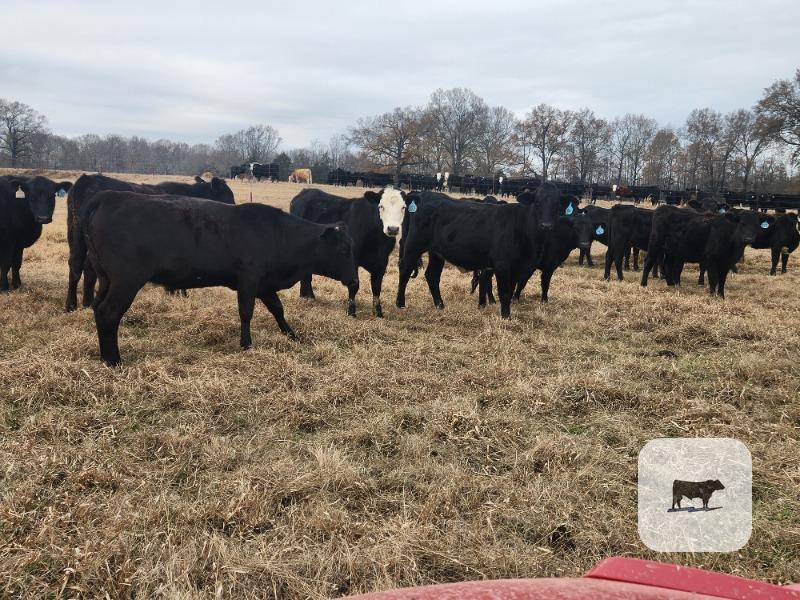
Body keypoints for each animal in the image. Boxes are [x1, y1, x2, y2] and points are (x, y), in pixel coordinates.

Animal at [65, 173, 235, 312]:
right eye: (227, 195)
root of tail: (86, 180)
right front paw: (178, 293)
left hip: (76, 237)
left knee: (77, 265)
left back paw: (73, 305)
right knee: (88, 268)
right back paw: (86, 303)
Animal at [80, 192, 358, 366]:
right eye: (345, 249)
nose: (355, 282)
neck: (278, 234)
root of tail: (108, 196)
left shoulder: (264, 283)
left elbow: (278, 309)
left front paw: (292, 336)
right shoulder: (249, 280)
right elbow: (246, 312)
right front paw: (246, 344)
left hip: (106, 280)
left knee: (98, 308)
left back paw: (105, 356)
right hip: (126, 280)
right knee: (108, 312)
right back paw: (113, 360)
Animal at [289, 186, 408, 317]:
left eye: (403, 207)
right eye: (381, 206)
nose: (393, 229)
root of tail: (305, 191)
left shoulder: (382, 261)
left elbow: (377, 287)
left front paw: (378, 312)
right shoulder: (352, 258)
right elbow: (354, 284)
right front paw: (351, 311)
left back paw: (307, 295)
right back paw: (308, 295)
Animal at [395, 182, 568, 319]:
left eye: (558, 204)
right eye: (537, 202)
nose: (546, 225)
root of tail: (423, 194)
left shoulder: (518, 267)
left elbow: (511, 289)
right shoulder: (502, 264)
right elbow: (504, 291)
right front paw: (506, 316)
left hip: (436, 252)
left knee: (432, 275)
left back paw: (440, 305)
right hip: (414, 244)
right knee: (405, 269)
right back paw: (400, 303)